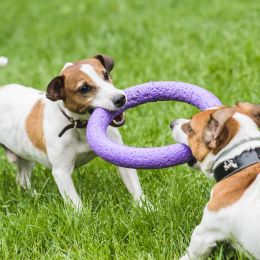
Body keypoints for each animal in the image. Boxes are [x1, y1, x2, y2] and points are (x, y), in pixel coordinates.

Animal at [0, 54, 146, 209]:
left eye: (105, 75)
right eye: (84, 88)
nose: (120, 99)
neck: (80, 127)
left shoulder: (119, 156)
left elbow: (135, 186)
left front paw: (146, 207)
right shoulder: (61, 172)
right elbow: (75, 202)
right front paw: (83, 214)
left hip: (25, 157)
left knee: (22, 179)